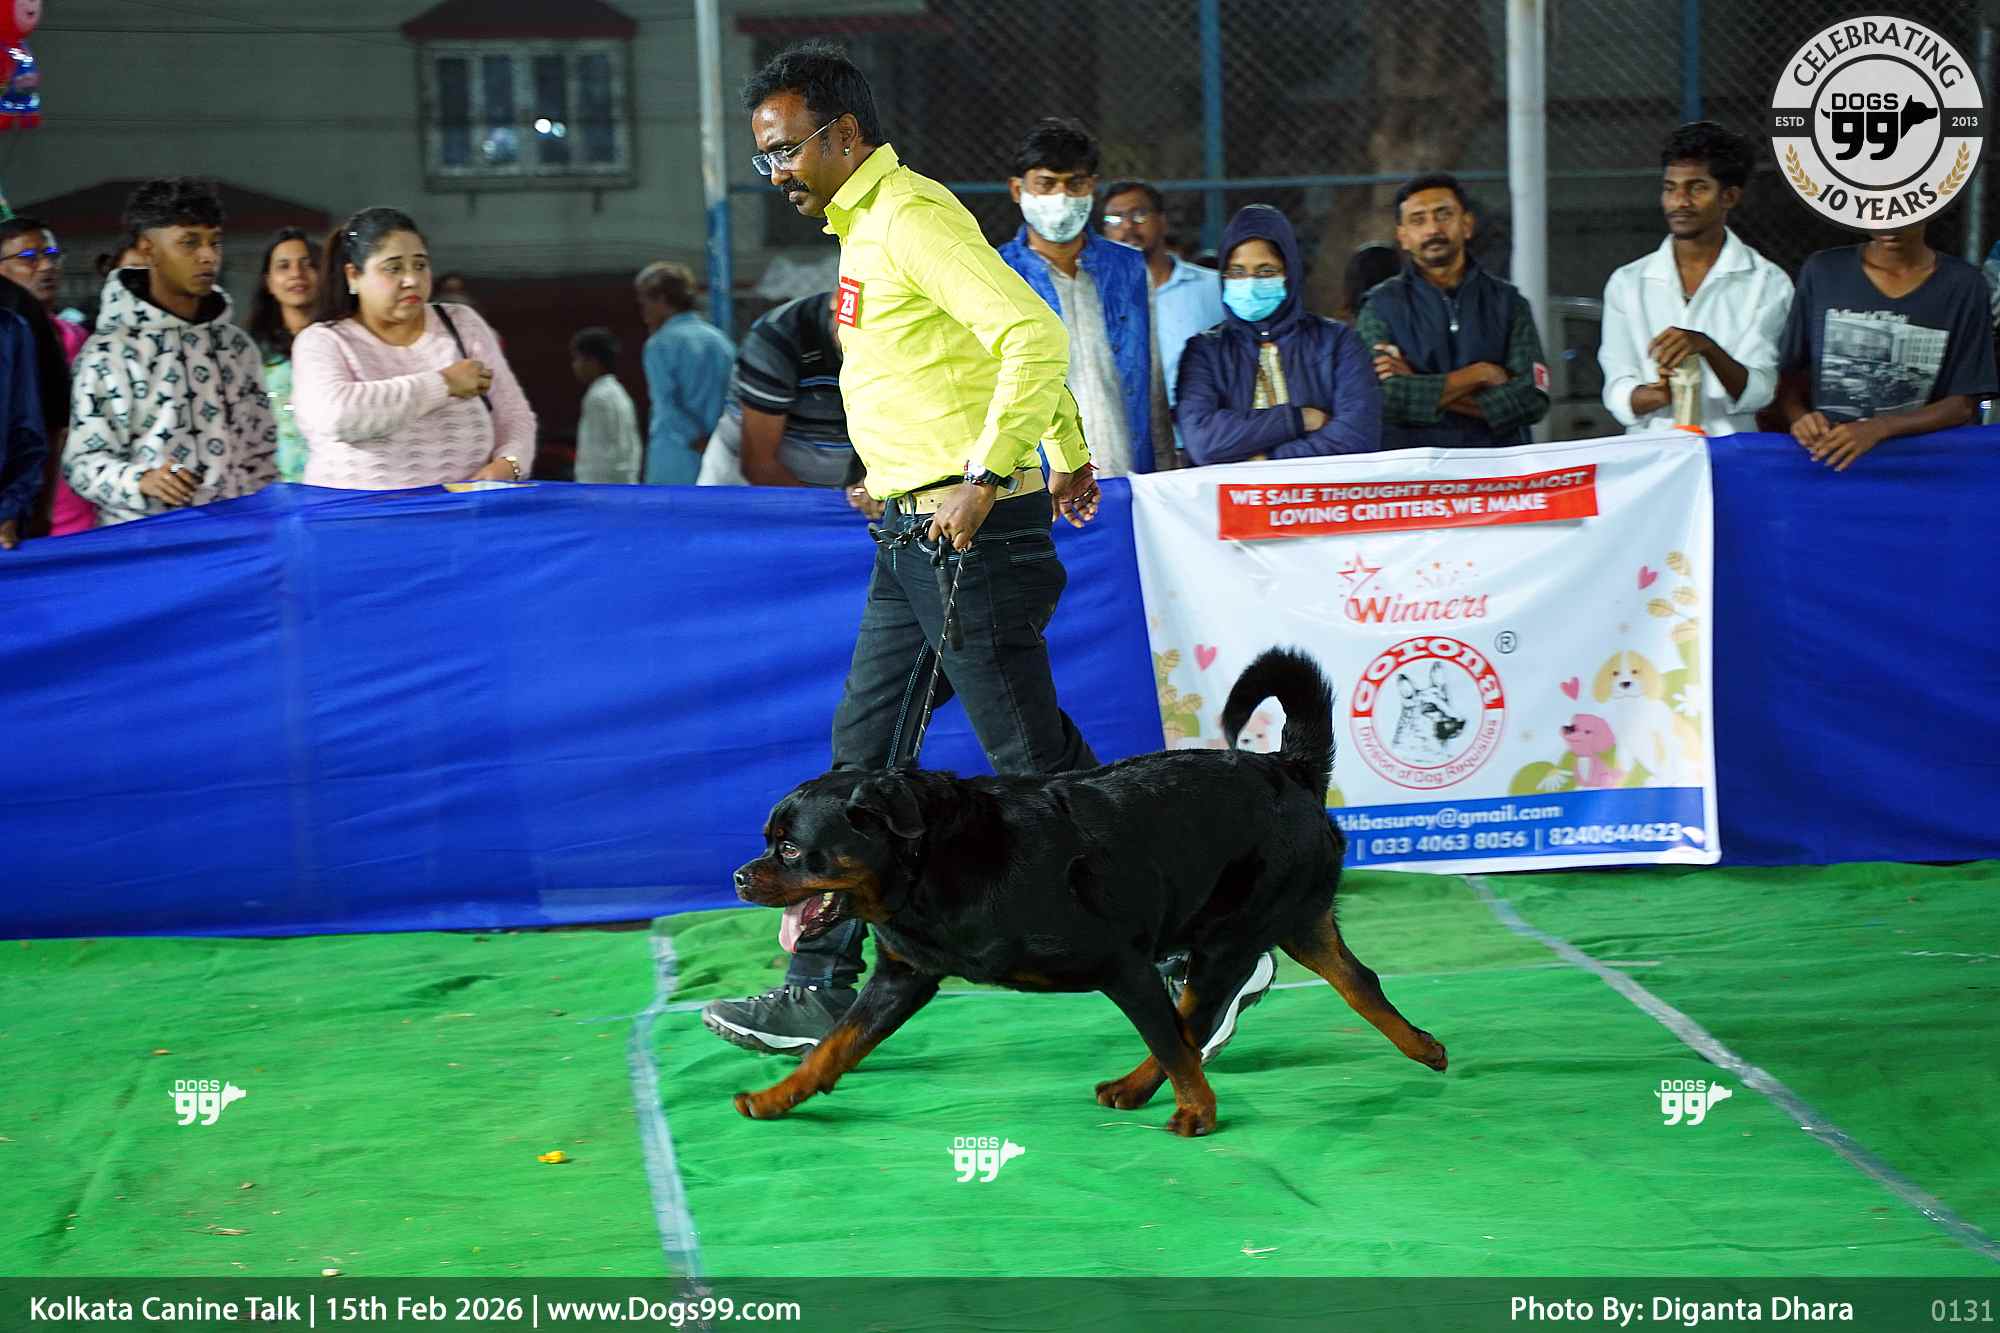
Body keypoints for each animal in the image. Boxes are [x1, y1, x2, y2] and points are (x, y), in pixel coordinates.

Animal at [727, 648, 1448, 1138]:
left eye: (789, 848)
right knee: (1357, 982)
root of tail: (1290, 768)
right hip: (1297, 920)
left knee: (1193, 1020)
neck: (927, 864)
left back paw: (1161, 1092)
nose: (739, 876)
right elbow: (836, 1044)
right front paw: (776, 1097)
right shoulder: (903, 976)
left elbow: (1171, 1038)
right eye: (768, 840)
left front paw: (1199, 1111)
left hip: (1229, 935)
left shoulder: (1122, 963)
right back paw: (1423, 1046)